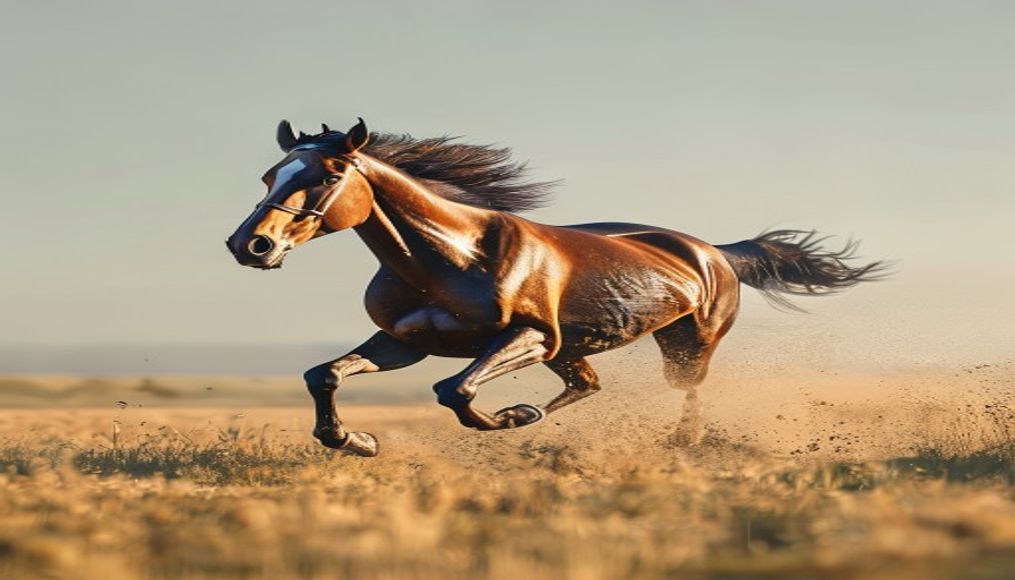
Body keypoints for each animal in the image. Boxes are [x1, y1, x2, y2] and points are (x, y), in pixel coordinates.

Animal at [226, 118, 886, 456]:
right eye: (270, 174)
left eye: (331, 173)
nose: (251, 245)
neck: (447, 256)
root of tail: (718, 252)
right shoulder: (404, 342)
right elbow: (325, 374)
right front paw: (353, 438)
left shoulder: (531, 337)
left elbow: (453, 390)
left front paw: (506, 415)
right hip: (575, 349)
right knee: (587, 385)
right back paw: (535, 410)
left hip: (684, 344)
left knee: (688, 391)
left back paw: (680, 441)